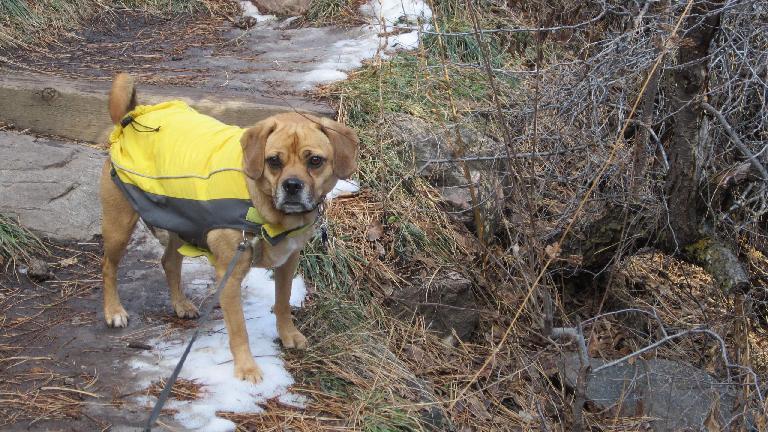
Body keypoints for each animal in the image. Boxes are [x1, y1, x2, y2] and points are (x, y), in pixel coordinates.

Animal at [100, 73, 360, 382]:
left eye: (315, 161)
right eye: (274, 161)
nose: (292, 186)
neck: (262, 205)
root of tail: (131, 116)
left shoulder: (288, 262)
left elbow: (283, 303)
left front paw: (288, 334)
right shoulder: (230, 276)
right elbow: (239, 330)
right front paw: (246, 368)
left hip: (182, 222)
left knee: (169, 262)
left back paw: (180, 304)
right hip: (119, 226)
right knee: (109, 268)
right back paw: (114, 311)